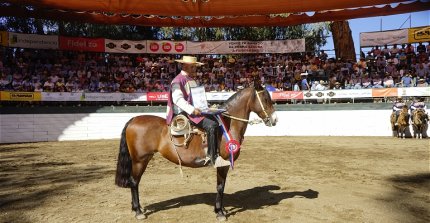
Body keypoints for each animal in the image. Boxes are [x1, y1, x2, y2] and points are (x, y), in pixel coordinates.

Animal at [114, 84, 278, 220]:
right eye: (265, 98)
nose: (274, 119)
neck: (227, 125)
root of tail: (133, 120)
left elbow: (222, 185)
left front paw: (222, 209)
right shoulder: (223, 164)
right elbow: (220, 186)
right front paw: (219, 212)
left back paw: (137, 208)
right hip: (140, 160)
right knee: (134, 182)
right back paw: (138, 212)